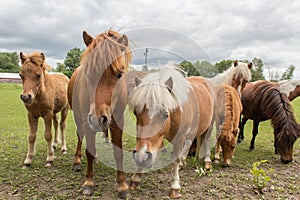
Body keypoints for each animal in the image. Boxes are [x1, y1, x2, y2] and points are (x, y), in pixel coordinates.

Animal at [68, 29, 132, 197]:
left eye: (119, 74)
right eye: (88, 73)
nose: (98, 118)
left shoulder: (117, 120)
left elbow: (118, 153)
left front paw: (122, 185)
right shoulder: (86, 119)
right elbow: (88, 151)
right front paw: (88, 182)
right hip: (79, 118)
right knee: (80, 136)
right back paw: (76, 161)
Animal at [126, 65, 216, 198]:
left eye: (165, 114)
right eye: (136, 113)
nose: (141, 156)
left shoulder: (179, 138)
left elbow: (175, 159)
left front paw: (175, 187)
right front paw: (136, 177)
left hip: (209, 124)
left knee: (207, 140)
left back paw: (207, 162)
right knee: (189, 143)